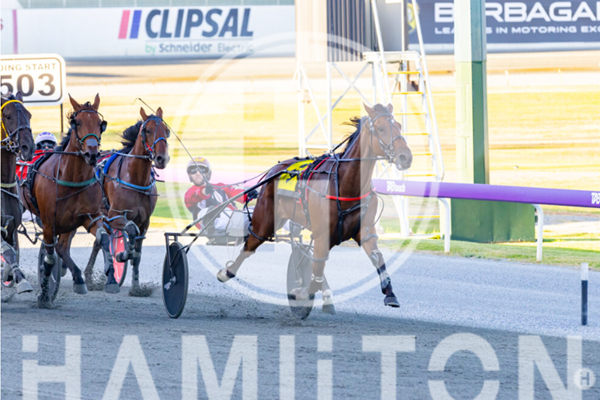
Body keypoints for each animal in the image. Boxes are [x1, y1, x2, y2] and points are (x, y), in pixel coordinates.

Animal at [20, 94, 116, 308]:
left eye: (100, 124)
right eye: (77, 122)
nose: (92, 153)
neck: (72, 179)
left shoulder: (90, 217)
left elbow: (104, 238)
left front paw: (111, 278)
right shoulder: (49, 223)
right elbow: (49, 259)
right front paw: (44, 295)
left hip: (68, 223)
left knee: (62, 247)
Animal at [85, 107, 170, 294]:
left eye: (166, 131)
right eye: (147, 130)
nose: (162, 158)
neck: (135, 179)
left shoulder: (145, 223)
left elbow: (137, 255)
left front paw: (136, 287)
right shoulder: (114, 217)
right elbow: (130, 230)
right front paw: (122, 254)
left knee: (98, 242)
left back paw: (90, 277)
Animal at [216, 103, 413, 310]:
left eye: (399, 125)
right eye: (381, 128)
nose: (405, 157)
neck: (344, 184)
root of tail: (275, 168)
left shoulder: (364, 229)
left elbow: (377, 257)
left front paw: (390, 294)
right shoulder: (322, 233)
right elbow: (316, 271)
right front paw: (302, 292)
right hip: (266, 220)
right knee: (251, 243)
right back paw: (227, 272)